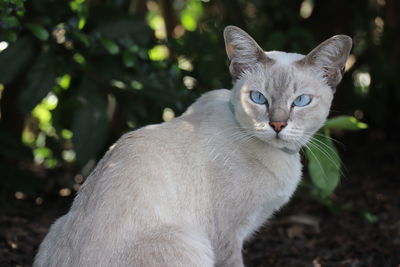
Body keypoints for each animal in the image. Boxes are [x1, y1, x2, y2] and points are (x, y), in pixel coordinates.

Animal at [35, 25, 354, 267]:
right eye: (258, 98)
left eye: (301, 101)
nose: (277, 125)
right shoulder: (227, 237)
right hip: (192, 244)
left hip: (55, 226)